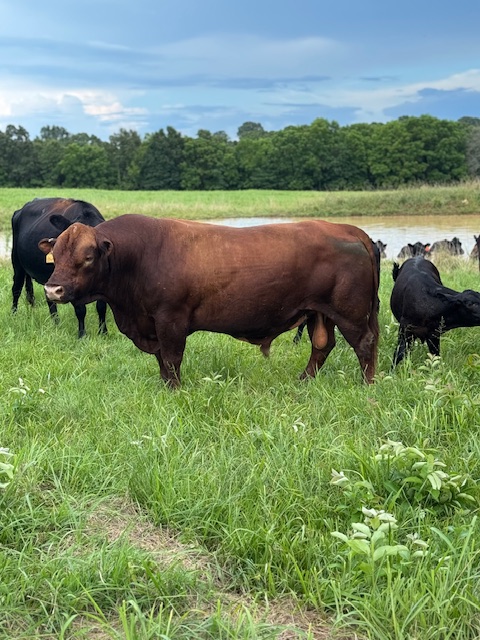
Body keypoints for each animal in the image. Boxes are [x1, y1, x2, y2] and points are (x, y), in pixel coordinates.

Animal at [11, 197, 108, 338]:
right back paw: (14, 315)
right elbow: (80, 309)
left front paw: (103, 333)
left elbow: (101, 306)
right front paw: (82, 335)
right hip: (17, 263)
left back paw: (55, 323)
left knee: (46, 299)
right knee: (16, 289)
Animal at [40, 215, 380, 388]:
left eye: (87, 257)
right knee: (322, 345)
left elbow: (172, 358)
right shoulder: (151, 323)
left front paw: (175, 389)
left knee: (364, 342)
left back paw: (366, 384)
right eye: (55, 255)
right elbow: (161, 359)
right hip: (318, 312)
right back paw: (303, 381)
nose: (53, 290)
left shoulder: (171, 319)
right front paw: (164, 385)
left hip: (349, 312)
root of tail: (347, 228)